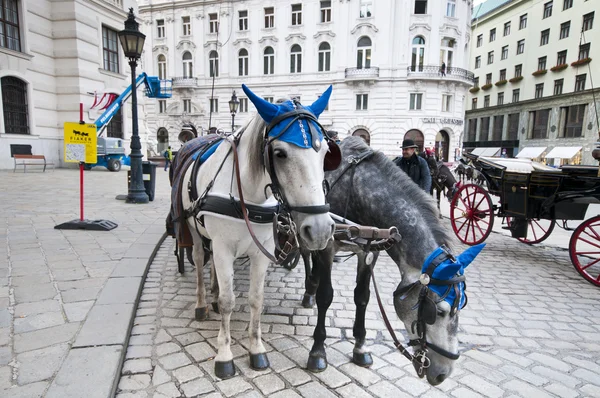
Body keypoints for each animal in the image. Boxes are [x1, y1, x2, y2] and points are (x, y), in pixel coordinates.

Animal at [178, 84, 338, 380]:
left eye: (324, 153)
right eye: (280, 154)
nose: (321, 230)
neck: (248, 197)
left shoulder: (260, 252)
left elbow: (256, 299)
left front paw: (256, 349)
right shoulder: (223, 248)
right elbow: (229, 301)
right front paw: (224, 355)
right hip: (194, 232)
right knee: (199, 259)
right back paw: (204, 303)